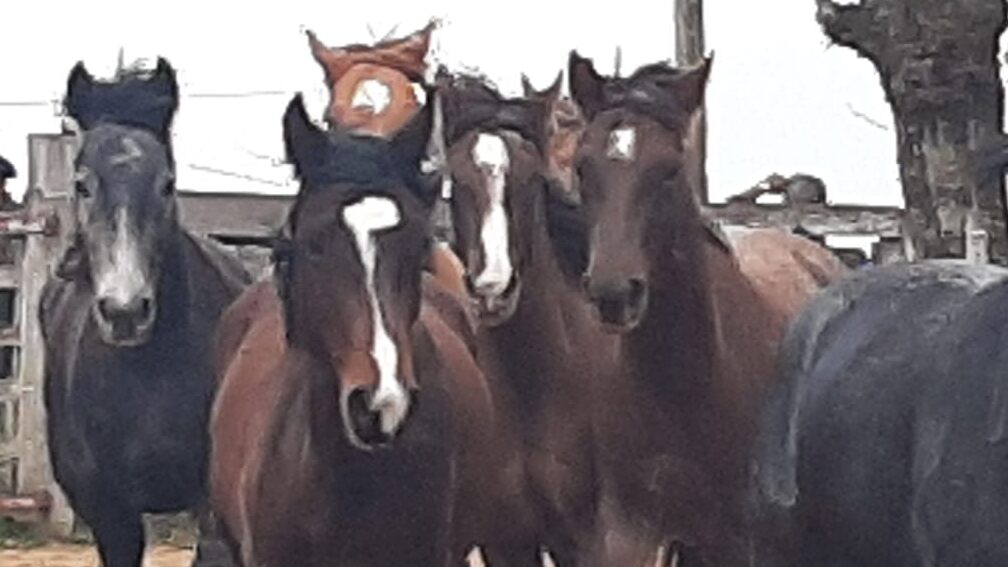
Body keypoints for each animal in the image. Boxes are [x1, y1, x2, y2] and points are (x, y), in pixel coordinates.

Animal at [40, 59, 251, 567]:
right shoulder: (110, 513)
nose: (125, 311)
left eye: (167, 183)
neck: (147, 376)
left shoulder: (212, 511)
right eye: (82, 183)